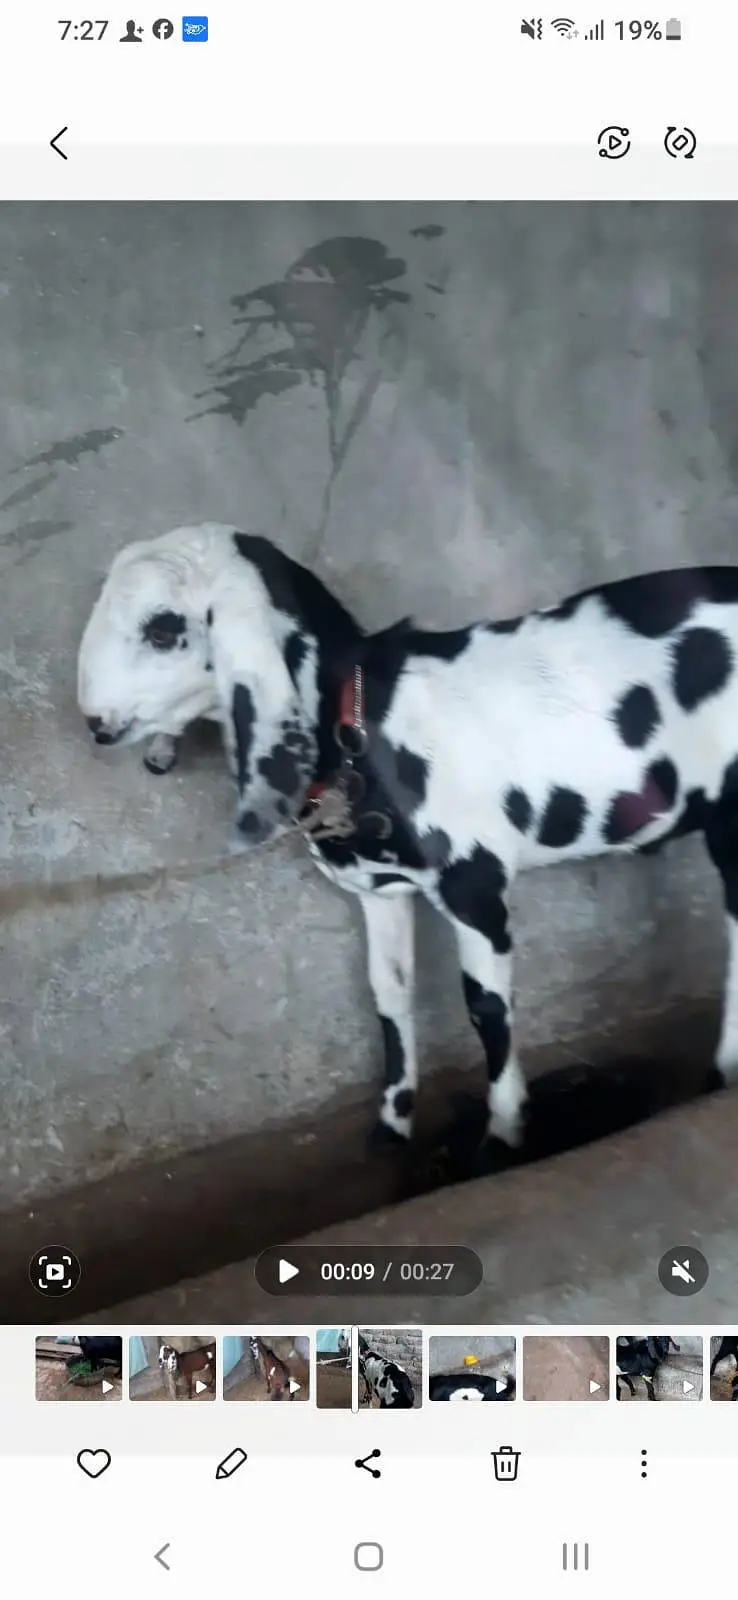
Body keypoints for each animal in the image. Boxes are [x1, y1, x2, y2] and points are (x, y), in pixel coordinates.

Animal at [78, 527, 738, 1153]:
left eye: (163, 628)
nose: (93, 722)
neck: (365, 727)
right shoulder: (380, 892)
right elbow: (390, 993)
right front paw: (391, 1127)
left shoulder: (475, 885)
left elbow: (486, 1009)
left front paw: (502, 1136)